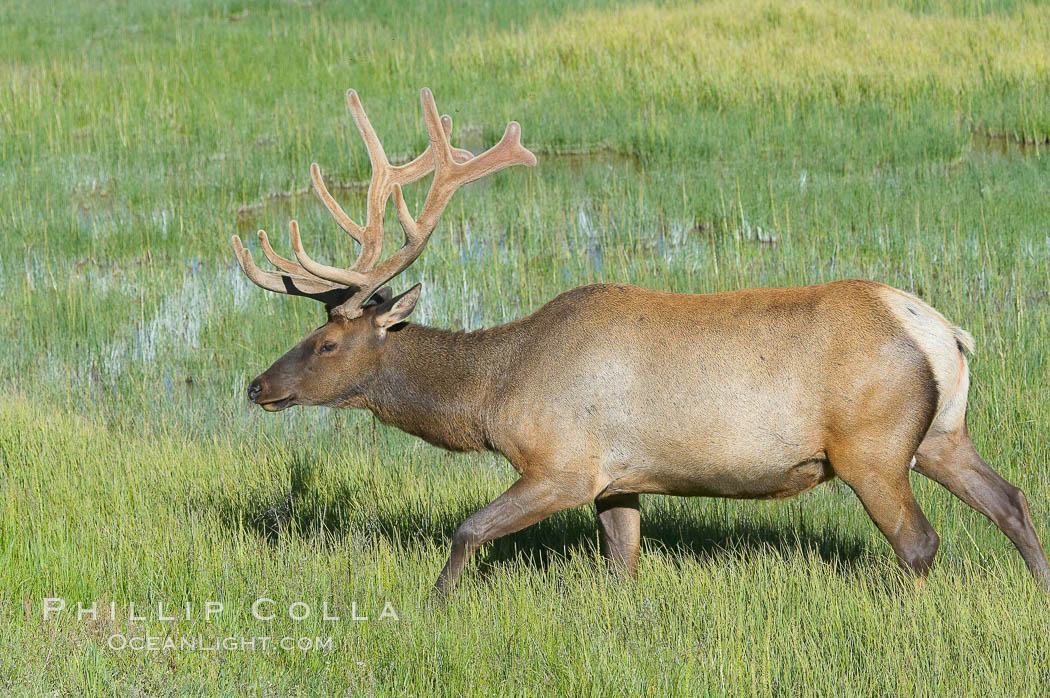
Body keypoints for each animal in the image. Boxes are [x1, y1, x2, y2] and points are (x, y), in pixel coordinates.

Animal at [232, 87, 1050, 591]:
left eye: (329, 344)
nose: (257, 385)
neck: (493, 394)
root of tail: (945, 331)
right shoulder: (618, 477)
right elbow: (622, 567)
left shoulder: (561, 463)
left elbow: (468, 531)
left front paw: (434, 609)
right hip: (940, 433)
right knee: (1011, 499)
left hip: (871, 446)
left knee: (920, 543)